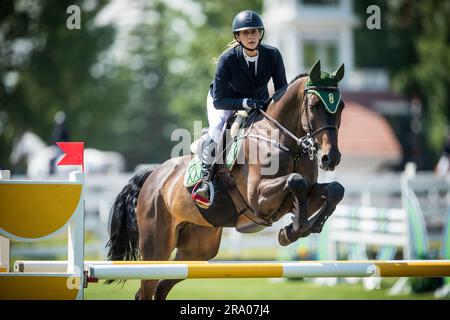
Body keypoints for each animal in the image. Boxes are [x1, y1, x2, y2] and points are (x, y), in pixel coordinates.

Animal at [107, 60, 346, 300]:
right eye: (314, 105)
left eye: (341, 106)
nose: (331, 158)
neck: (284, 142)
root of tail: (153, 174)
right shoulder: (258, 197)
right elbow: (296, 181)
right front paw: (293, 230)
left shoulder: (300, 195)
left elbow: (334, 189)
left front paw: (308, 226)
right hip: (156, 246)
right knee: (146, 289)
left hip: (197, 249)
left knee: (161, 287)